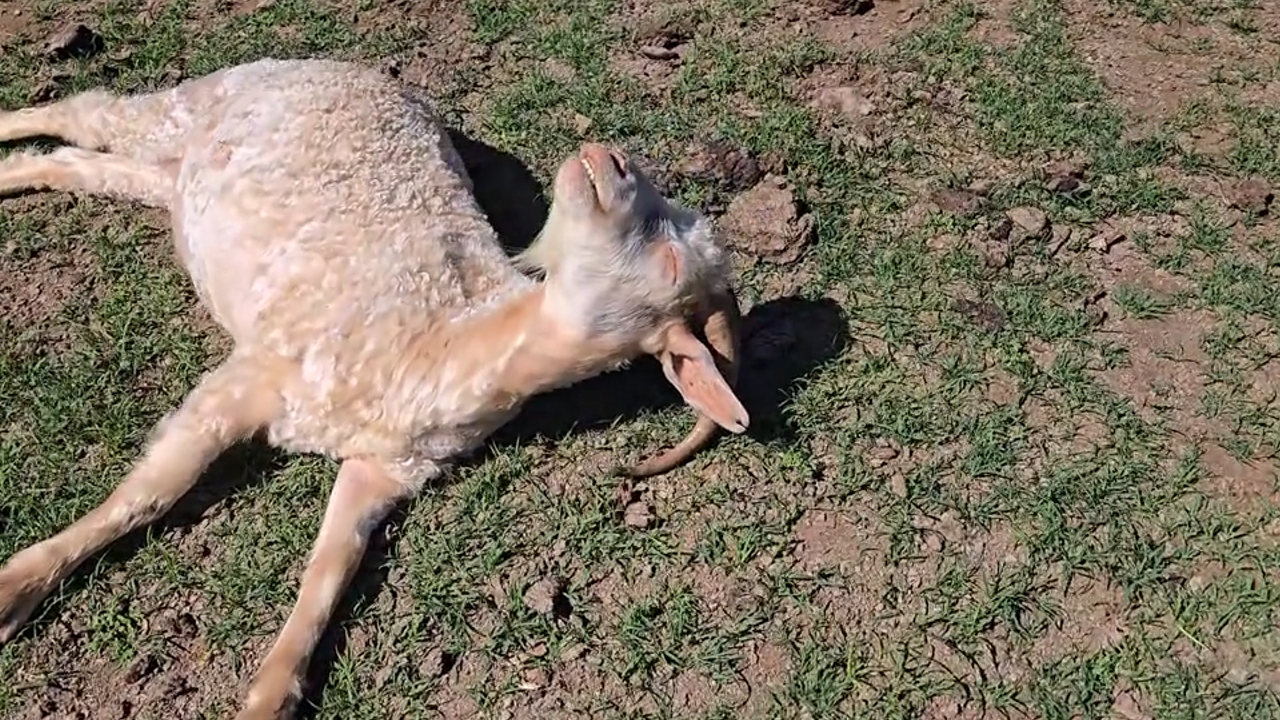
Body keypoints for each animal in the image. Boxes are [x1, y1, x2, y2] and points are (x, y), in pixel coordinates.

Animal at [0, 57, 748, 720]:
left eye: (671, 258)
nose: (609, 156)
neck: (440, 343)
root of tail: (356, 69)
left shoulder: (386, 470)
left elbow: (330, 569)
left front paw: (272, 694)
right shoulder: (252, 374)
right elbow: (149, 495)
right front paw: (15, 590)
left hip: (181, 174)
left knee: (86, 165)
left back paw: (18, 173)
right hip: (192, 104)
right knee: (87, 111)